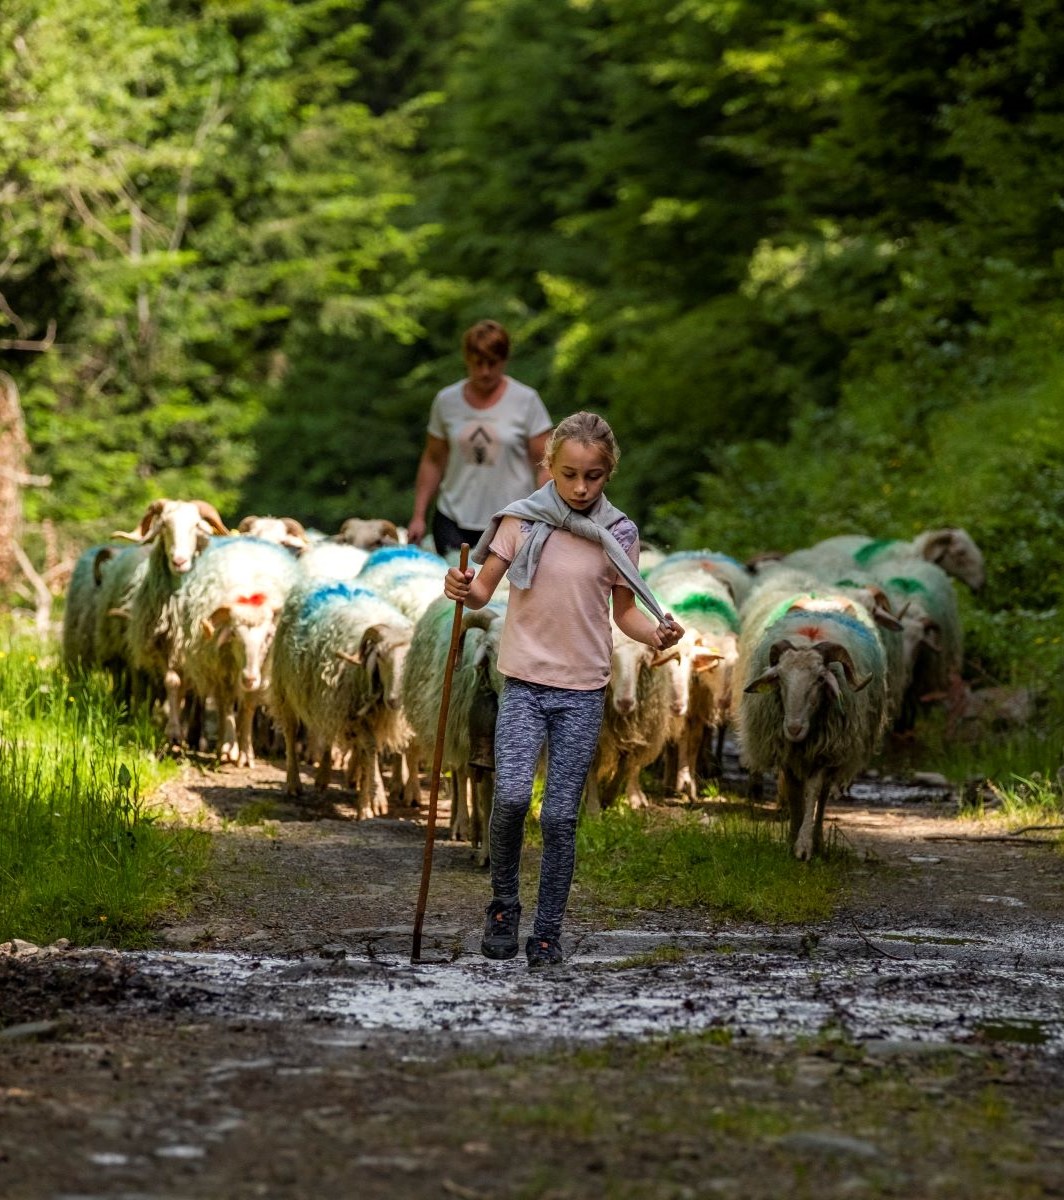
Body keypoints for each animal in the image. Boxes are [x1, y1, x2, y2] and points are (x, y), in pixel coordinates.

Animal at [116, 499, 229, 744]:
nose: (179, 561)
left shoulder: (193, 647)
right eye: (164, 526)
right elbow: (172, 682)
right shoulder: (165, 643)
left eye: (196, 526)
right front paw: (173, 732)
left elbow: (193, 687)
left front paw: (186, 731)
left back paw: (196, 733)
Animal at [178, 537, 301, 763]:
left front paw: (245, 752)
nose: (249, 677)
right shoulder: (221, 667)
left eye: (269, 636)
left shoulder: (262, 671)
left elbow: (248, 707)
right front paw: (228, 747)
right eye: (234, 634)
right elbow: (226, 703)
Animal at [268, 578, 415, 820]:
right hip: (285, 687)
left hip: (326, 702)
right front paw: (377, 799)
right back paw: (294, 784)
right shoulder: (353, 717)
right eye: (380, 656)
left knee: (327, 735)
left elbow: (366, 754)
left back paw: (322, 777)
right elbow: (370, 750)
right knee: (290, 731)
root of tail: (327, 580)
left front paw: (364, 807)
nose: (395, 700)